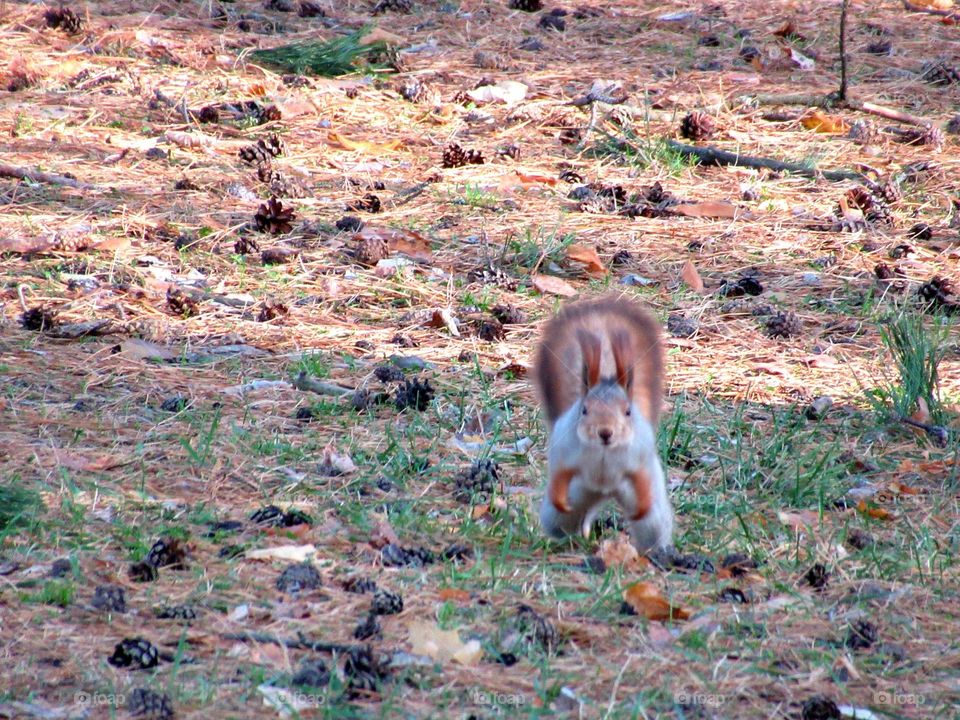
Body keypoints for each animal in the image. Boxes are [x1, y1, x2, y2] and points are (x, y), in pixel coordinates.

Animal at [532, 294, 673, 553]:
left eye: (628, 411)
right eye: (584, 410)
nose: (605, 432)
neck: (604, 452)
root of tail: (604, 492)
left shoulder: (640, 455)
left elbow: (641, 478)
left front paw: (642, 505)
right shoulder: (564, 449)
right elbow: (560, 473)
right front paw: (558, 497)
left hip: (651, 521)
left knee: (652, 529)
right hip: (570, 503)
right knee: (564, 523)